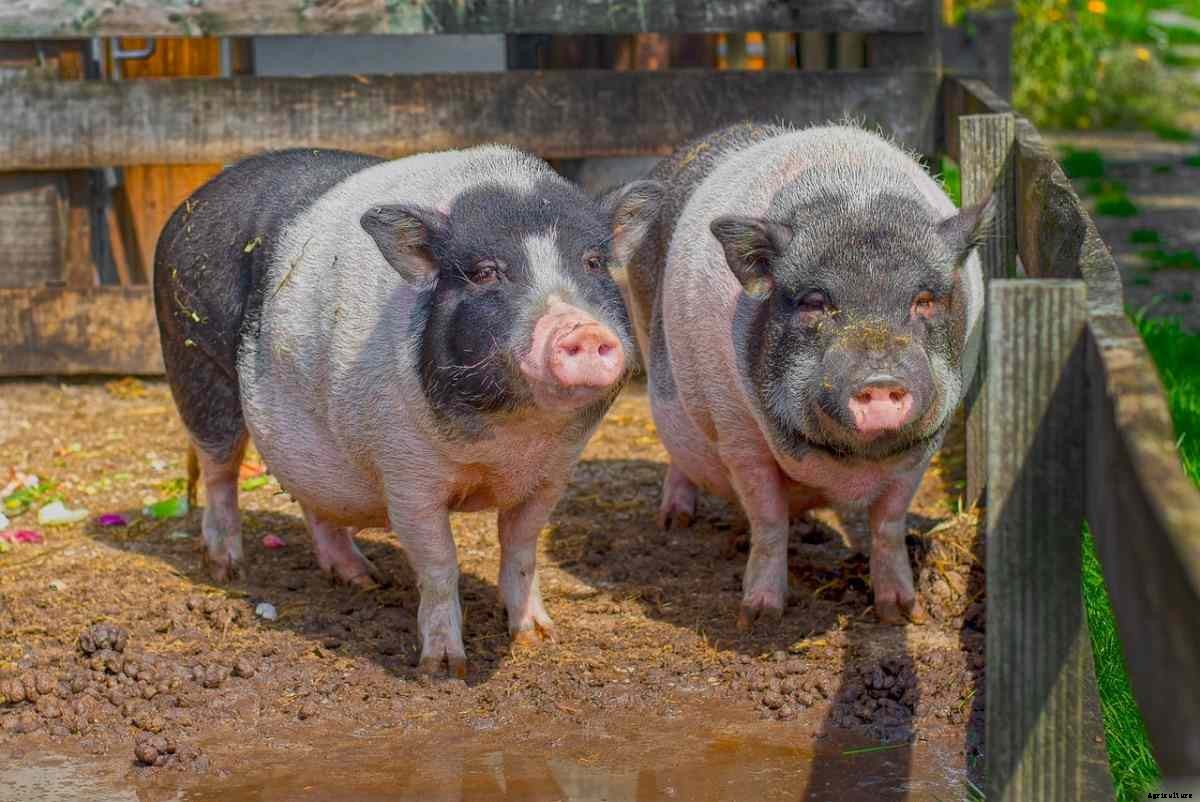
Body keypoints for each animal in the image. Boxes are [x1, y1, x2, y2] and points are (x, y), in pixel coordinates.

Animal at [154, 146, 661, 675]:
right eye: (485, 271)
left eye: (594, 262)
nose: (581, 329)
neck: (508, 441)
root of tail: (196, 198)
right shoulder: (406, 475)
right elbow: (440, 564)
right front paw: (443, 668)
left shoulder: (552, 473)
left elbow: (521, 548)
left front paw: (539, 638)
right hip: (196, 363)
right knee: (219, 471)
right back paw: (227, 568)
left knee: (311, 497)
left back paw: (363, 578)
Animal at [624, 123, 990, 627]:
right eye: (815, 302)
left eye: (924, 301)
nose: (879, 381)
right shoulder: (739, 436)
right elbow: (769, 521)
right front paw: (759, 615)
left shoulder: (923, 445)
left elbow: (889, 524)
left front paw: (899, 612)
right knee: (679, 456)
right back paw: (674, 521)